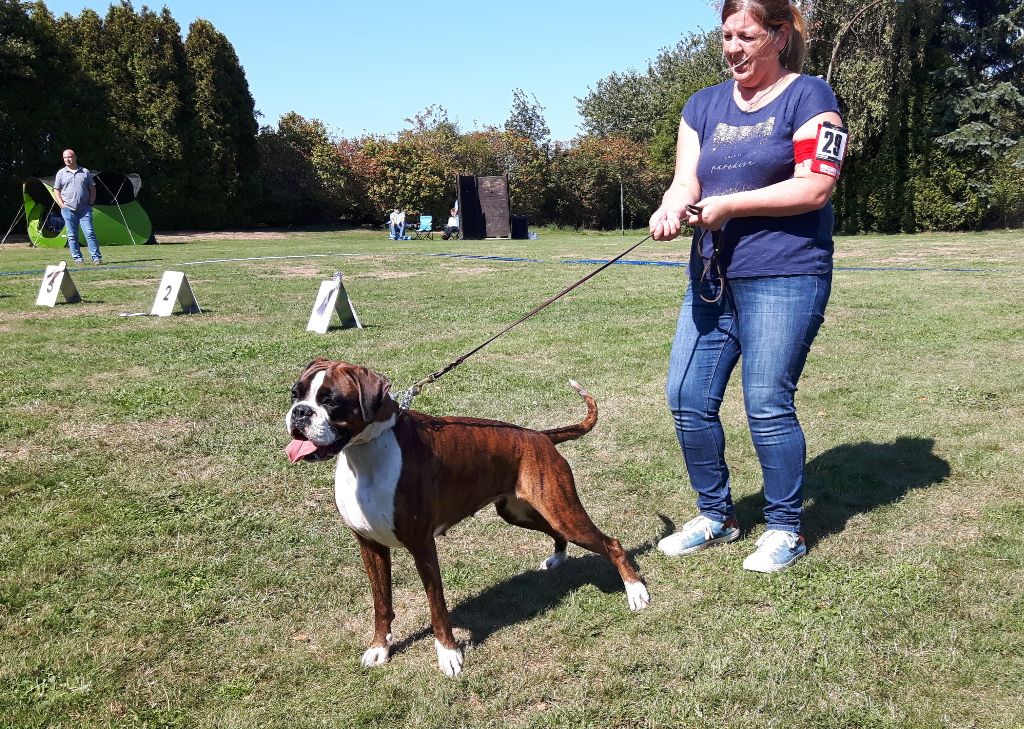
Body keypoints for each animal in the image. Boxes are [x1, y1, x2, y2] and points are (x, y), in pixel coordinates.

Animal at [282, 358, 647, 675]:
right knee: (558, 534)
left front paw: (449, 654)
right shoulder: (370, 546)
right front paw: (380, 649)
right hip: (521, 512)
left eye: (331, 401)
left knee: (611, 543)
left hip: (562, 512)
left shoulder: (422, 547)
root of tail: (540, 435)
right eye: (295, 394)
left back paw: (636, 592)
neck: (366, 451)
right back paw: (556, 559)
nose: (299, 413)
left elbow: (437, 605)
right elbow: (381, 603)